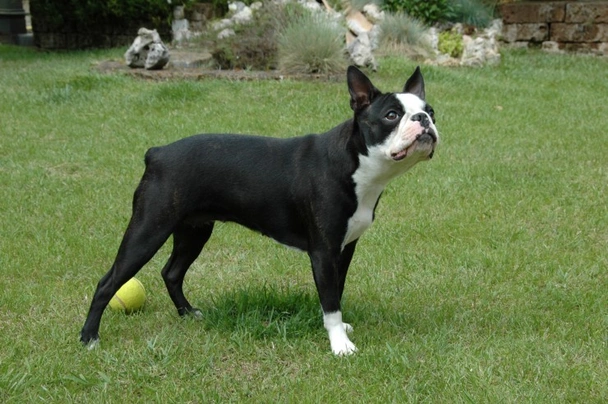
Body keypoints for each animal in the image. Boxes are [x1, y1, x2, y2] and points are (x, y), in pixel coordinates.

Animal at [81, 64, 436, 356]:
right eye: (391, 115)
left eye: (431, 110)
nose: (424, 120)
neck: (356, 163)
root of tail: (156, 153)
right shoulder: (323, 251)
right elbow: (330, 299)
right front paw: (340, 344)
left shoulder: (345, 248)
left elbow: (337, 290)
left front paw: (339, 329)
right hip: (148, 229)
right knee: (108, 282)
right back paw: (89, 338)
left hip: (194, 230)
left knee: (172, 272)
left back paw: (188, 314)